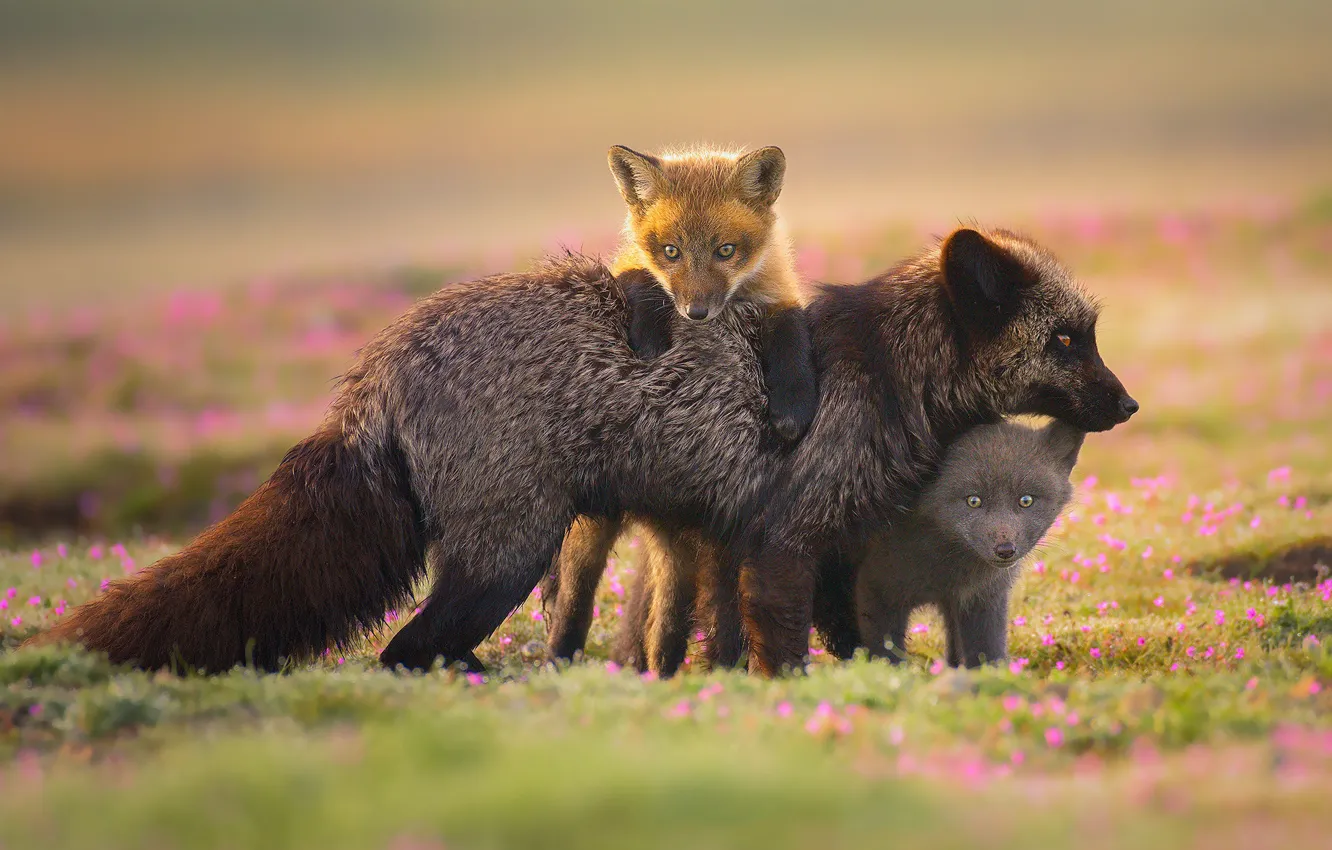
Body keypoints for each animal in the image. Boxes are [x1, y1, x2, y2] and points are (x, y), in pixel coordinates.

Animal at [854, 419, 1084, 667]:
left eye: (1026, 500)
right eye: (974, 501)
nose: (1005, 550)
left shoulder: (982, 597)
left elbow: (987, 652)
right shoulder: (876, 591)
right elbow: (886, 656)